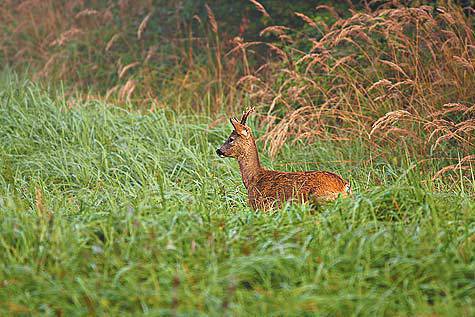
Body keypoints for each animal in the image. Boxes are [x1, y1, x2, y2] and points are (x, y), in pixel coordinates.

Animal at [218, 107, 352, 209]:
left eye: (231, 139)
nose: (218, 150)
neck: (253, 179)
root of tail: (344, 186)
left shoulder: (261, 205)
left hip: (318, 198)